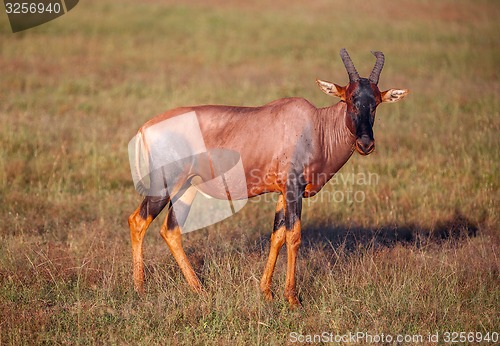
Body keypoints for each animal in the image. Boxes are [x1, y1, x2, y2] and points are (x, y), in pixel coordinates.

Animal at [127, 48, 408, 306]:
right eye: (350, 99)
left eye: (376, 102)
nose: (365, 144)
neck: (315, 125)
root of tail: (145, 128)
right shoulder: (294, 189)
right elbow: (294, 236)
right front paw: (292, 299)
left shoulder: (284, 192)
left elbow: (278, 236)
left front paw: (267, 292)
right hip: (164, 186)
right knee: (138, 221)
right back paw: (140, 289)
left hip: (186, 188)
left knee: (171, 231)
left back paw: (200, 290)